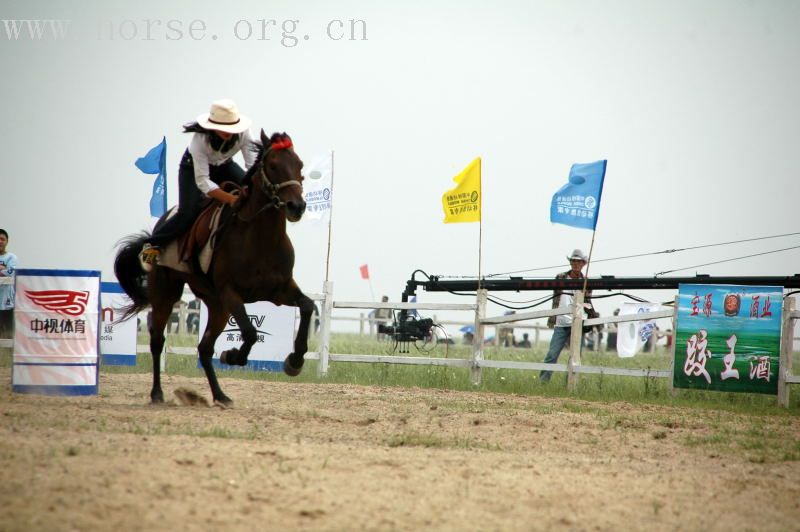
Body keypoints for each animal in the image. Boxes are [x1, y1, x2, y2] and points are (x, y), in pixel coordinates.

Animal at [114, 131, 314, 406]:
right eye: (273, 165)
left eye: (300, 165)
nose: (297, 206)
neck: (260, 239)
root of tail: (158, 229)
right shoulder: (231, 293)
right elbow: (250, 332)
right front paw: (233, 356)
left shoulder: (280, 290)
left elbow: (307, 306)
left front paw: (294, 361)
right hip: (167, 294)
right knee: (157, 340)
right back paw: (157, 393)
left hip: (216, 305)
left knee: (205, 348)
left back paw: (220, 395)